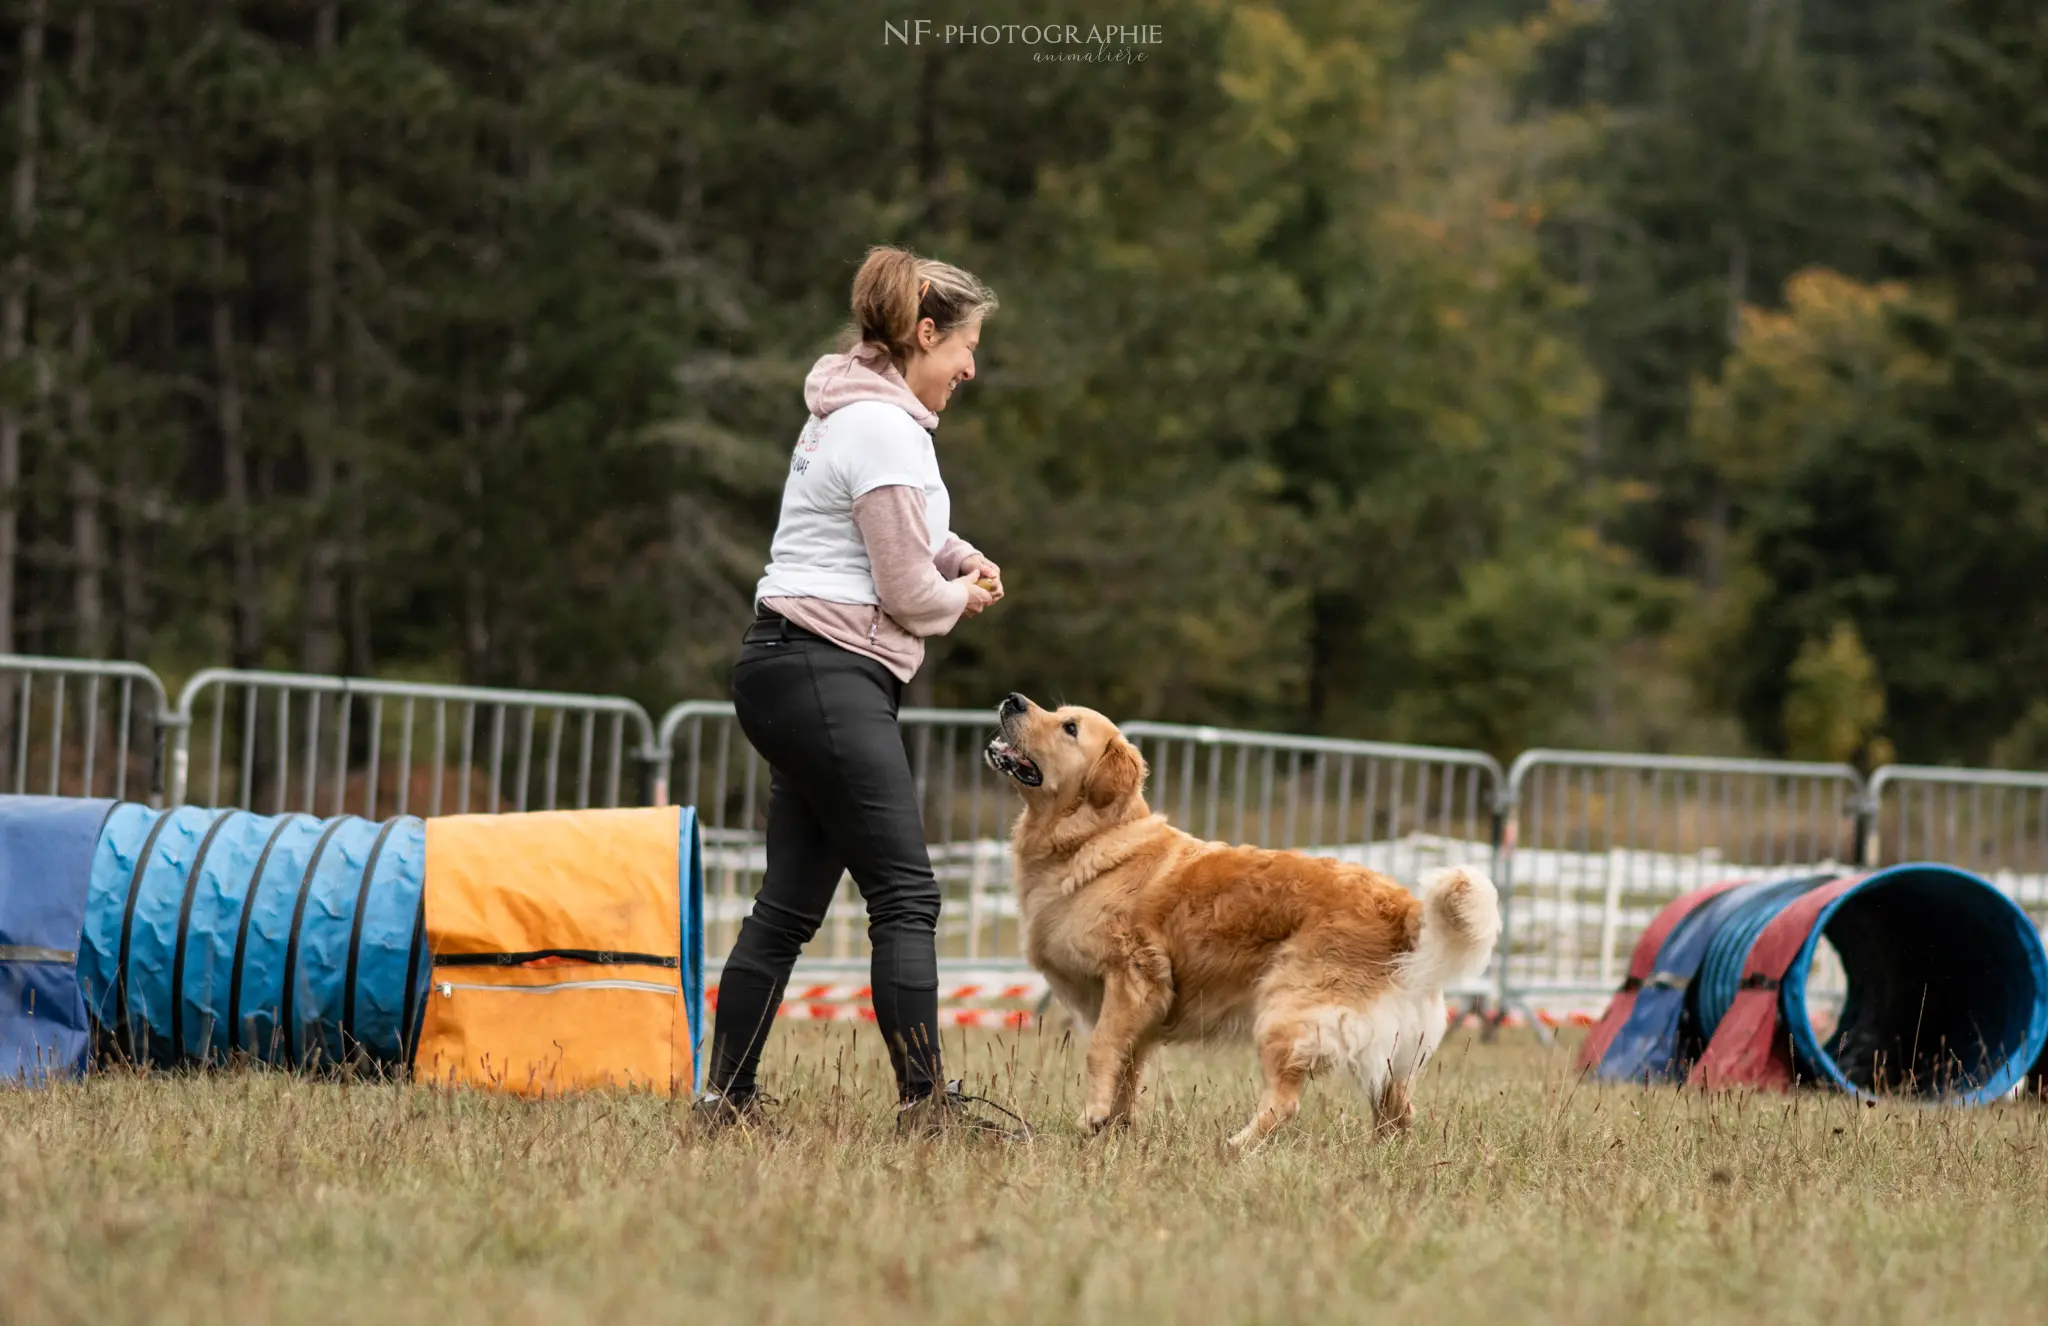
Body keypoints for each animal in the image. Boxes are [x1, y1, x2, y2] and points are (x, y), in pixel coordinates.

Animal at [983, 696, 1499, 1147]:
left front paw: (1092, 1116)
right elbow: (1128, 1076)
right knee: (1399, 1112)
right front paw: (1114, 1131)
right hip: (1389, 1051)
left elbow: (1100, 1052)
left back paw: (1234, 1146)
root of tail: (1402, 905)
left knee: (1286, 1105)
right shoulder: (1141, 1016)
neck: (1095, 838)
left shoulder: (1130, 978)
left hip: (1286, 1015)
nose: (1013, 700)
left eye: (1070, 727)